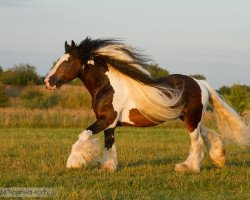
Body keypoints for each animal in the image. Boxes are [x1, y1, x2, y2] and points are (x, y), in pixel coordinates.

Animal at [45, 37, 250, 172]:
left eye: (67, 61)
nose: (48, 81)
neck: (107, 86)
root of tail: (200, 82)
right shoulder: (110, 124)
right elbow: (109, 145)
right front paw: (107, 168)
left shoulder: (105, 120)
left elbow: (83, 135)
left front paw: (73, 162)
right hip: (189, 118)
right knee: (206, 135)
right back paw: (219, 158)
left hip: (191, 119)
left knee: (197, 141)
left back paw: (188, 167)